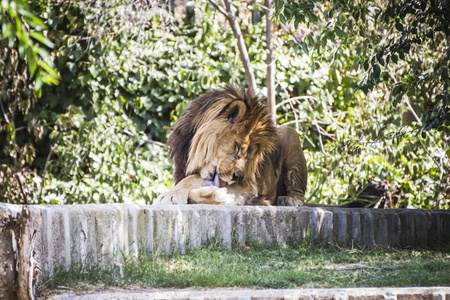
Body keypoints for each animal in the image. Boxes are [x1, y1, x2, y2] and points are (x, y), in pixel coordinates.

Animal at [155, 84, 358, 206]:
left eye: (249, 156)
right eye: (238, 148)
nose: (238, 176)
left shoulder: (249, 188)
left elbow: (196, 183)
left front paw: (220, 196)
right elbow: (190, 180)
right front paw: (172, 194)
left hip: (289, 133)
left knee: (299, 193)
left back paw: (290, 200)